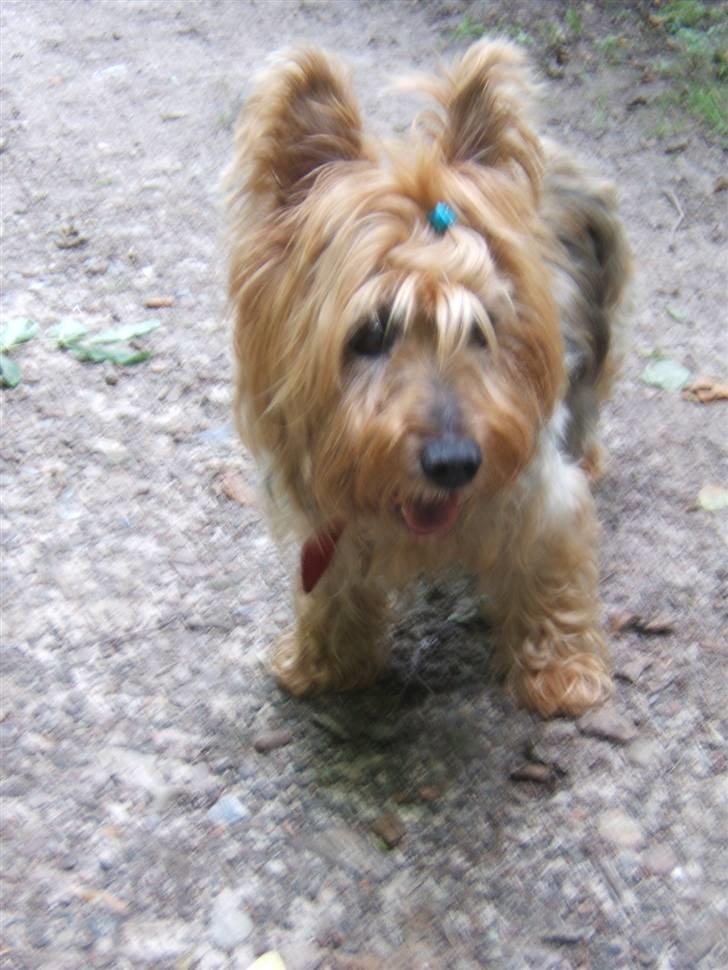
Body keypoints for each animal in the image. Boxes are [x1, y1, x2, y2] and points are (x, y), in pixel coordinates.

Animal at [228, 41, 632, 716]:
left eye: (483, 328)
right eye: (370, 333)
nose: (454, 463)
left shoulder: (542, 501)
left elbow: (552, 574)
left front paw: (561, 673)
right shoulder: (328, 526)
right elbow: (333, 589)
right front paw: (325, 662)